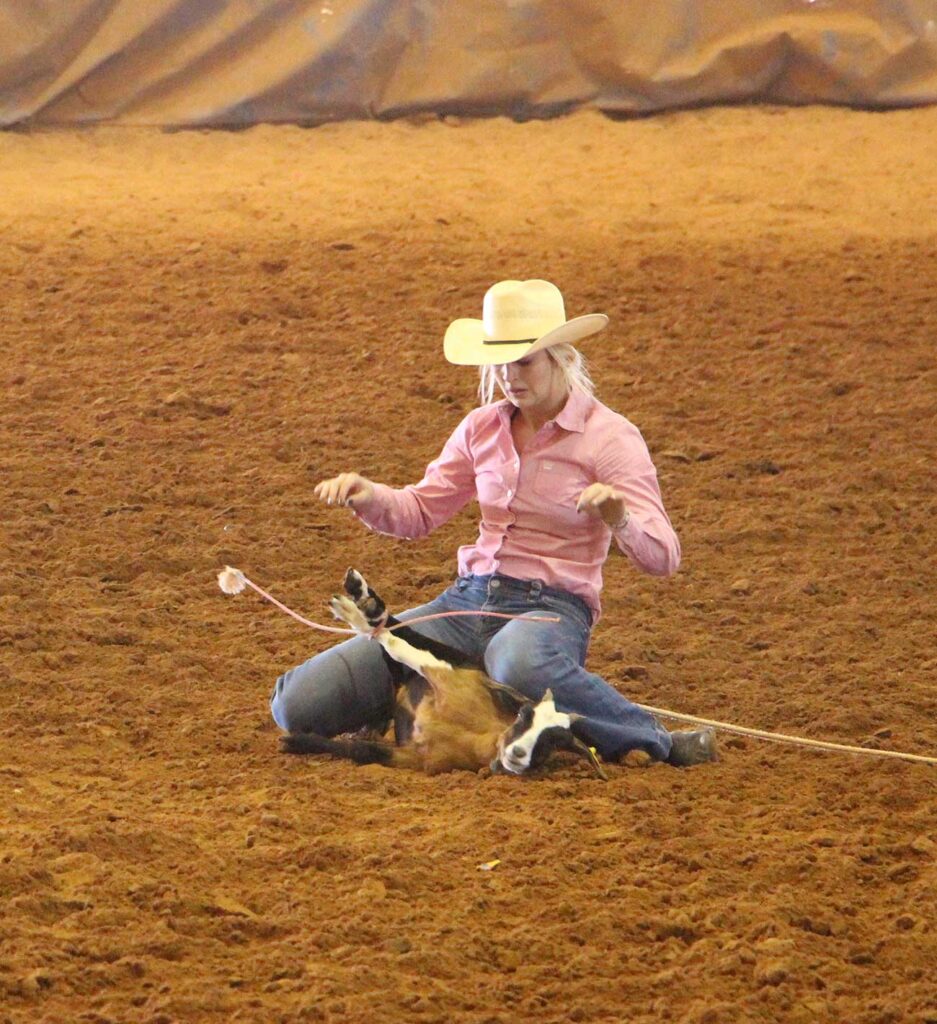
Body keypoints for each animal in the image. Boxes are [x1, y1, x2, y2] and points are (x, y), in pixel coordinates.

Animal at [278, 569, 606, 774]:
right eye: (524, 715)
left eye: (554, 741)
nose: (518, 754)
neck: (477, 736)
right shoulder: (440, 674)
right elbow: (398, 645)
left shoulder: (414, 758)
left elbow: (364, 752)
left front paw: (300, 742)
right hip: (448, 659)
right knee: (395, 631)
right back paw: (361, 602)